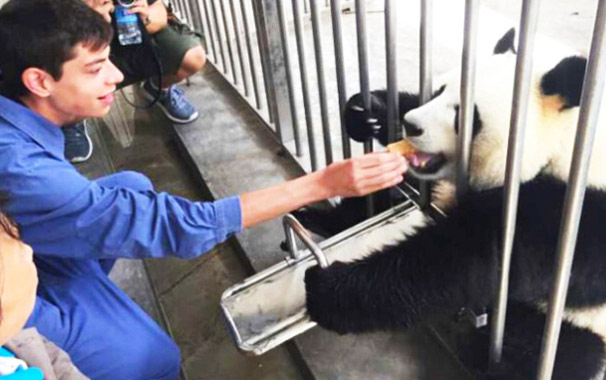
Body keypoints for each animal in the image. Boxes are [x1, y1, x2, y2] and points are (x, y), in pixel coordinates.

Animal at [306, 29, 606, 380]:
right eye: (439, 90)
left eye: (465, 115)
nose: (411, 125)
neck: (567, 143)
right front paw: (367, 113)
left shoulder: (574, 217)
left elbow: (472, 258)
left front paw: (329, 290)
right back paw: (319, 220)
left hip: (573, 323)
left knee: (542, 353)